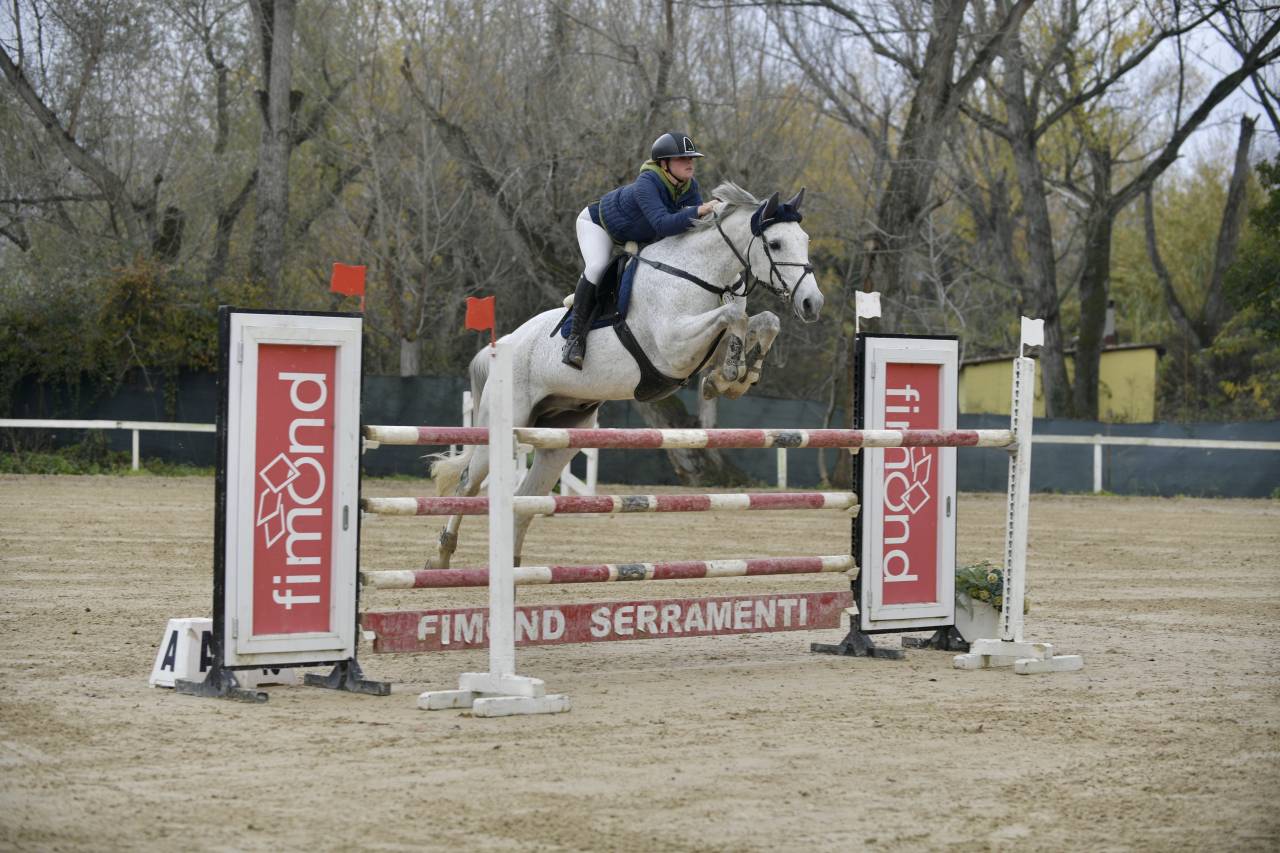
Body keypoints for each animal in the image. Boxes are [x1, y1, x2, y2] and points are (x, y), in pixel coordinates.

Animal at [427, 182, 824, 569]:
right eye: (775, 243)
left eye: (805, 239)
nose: (812, 303)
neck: (700, 274)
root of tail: (503, 344)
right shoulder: (673, 347)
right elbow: (735, 317)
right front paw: (728, 374)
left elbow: (762, 321)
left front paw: (738, 375)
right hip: (507, 422)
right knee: (468, 485)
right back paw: (441, 556)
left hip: (562, 436)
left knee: (526, 500)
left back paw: (513, 565)